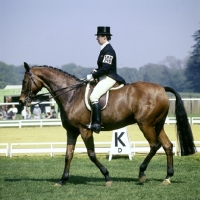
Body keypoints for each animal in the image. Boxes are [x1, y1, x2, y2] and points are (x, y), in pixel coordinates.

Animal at [18, 62, 195, 186]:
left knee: (155, 145)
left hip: (145, 125)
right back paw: (167, 177)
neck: (71, 95)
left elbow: (91, 154)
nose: (21, 101)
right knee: (167, 146)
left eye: (25, 80)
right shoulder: (72, 131)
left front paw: (107, 176)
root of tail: (162, 89)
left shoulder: (85, 130)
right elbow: (68, 155)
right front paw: (62, 180)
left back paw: (141, 174)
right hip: (157, 125)